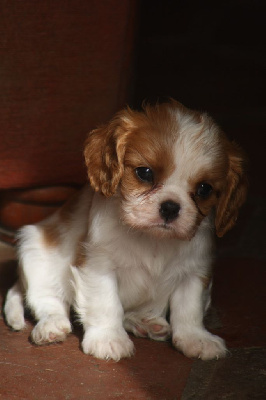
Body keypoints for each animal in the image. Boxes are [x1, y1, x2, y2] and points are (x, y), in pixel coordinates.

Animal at [4, 99, 248, 360]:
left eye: (204, 189)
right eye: (145, 173)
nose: (170, 207)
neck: (152, 239)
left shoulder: (194, 271)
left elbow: (189, 309)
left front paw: (196, 338)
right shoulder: (97, 264)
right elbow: (106, 303)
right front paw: (108, 338)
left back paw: (143, 321)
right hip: (35, 253)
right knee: (46, 299)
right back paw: (51, 325)